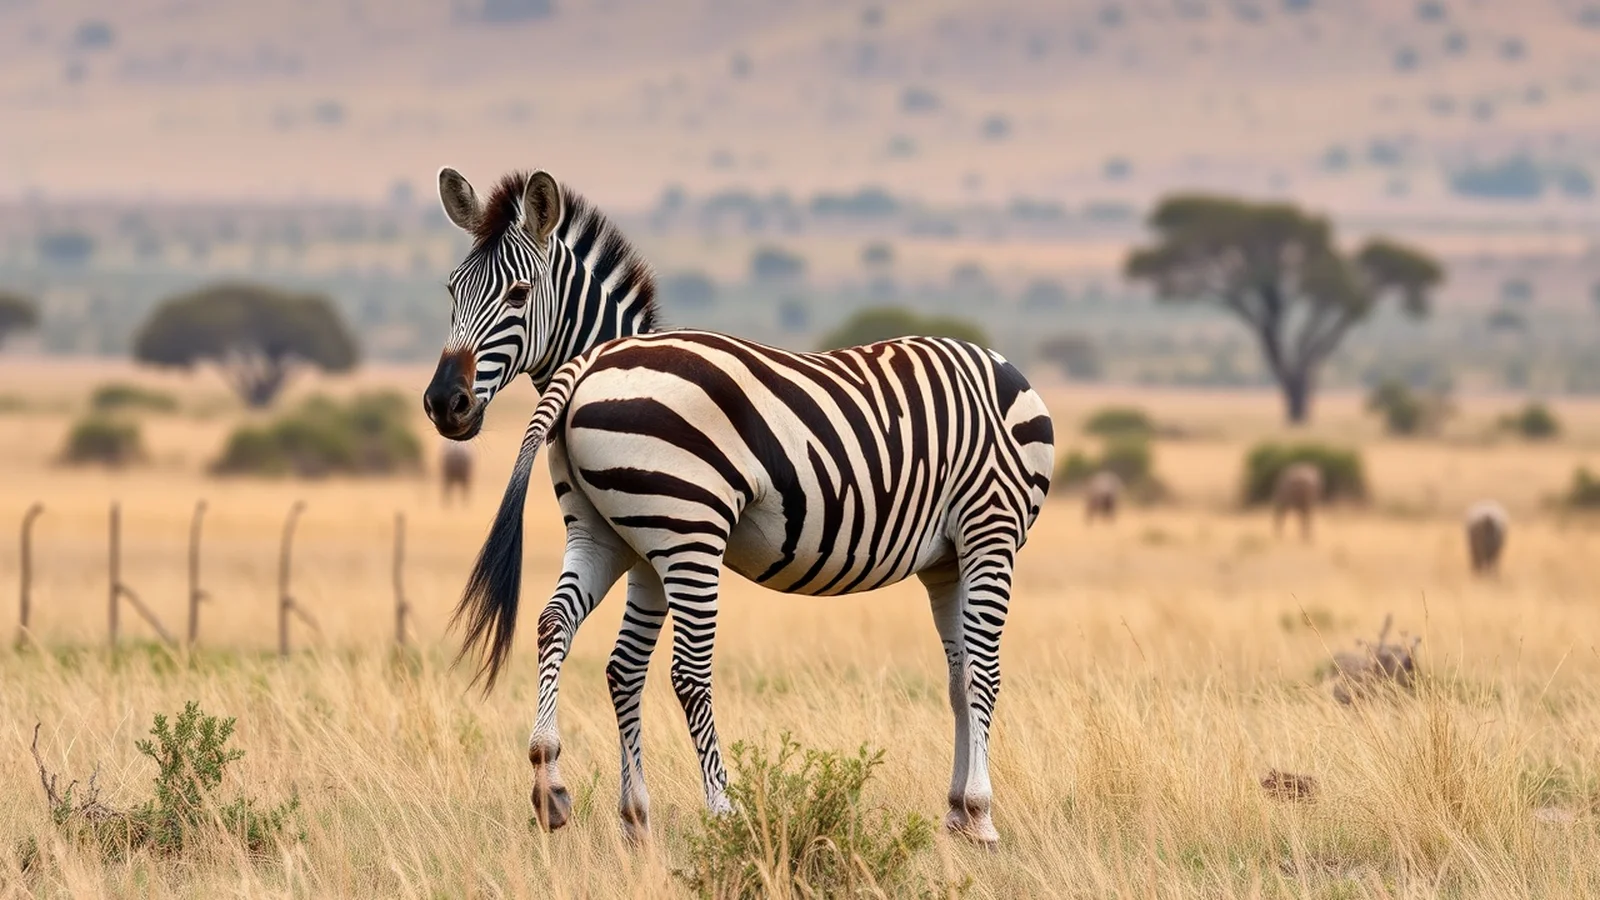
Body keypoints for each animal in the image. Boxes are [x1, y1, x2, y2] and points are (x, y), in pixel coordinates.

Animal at [422, 168, 1055, 846]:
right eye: (453, 290)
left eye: (518, 293)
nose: (443, 403)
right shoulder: (653, 543)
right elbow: (985, 671)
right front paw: (982, 815)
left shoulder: (639, 553)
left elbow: (623, 668)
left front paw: (635, 817)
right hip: (709, 534)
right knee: (690, 671)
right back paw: (728, 813)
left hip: (938, 548)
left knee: (557, 626)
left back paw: (552, 783)